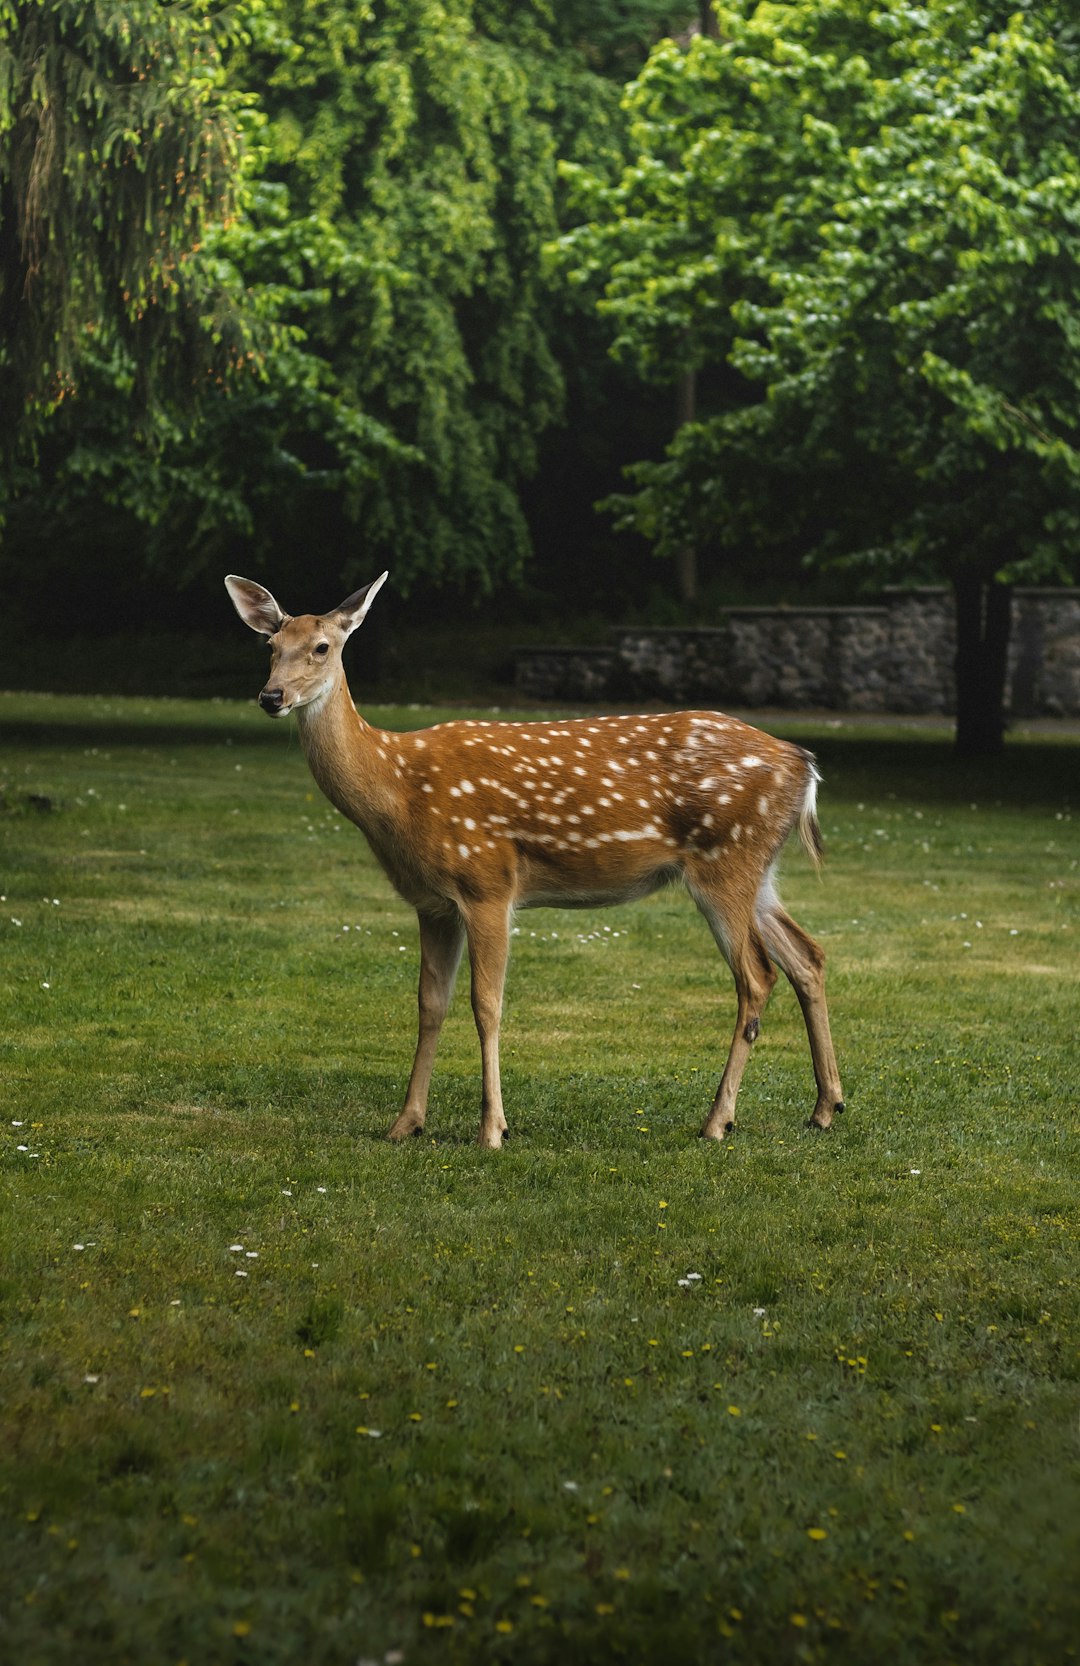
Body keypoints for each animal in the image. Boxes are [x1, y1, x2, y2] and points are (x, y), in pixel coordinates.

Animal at [225, 572, 845, 1149]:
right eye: (270, 645)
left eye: (322, 646)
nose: (270, 696)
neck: (397, 787)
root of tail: (804, 764)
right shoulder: (432, 903)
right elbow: (430, 1004)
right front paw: (405, 1124)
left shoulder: (486, 882)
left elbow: (487, 1005)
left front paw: (492, 1130)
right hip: (757, 869)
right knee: (807, 956)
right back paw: (825, 1108)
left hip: (725, 858)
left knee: (757, 977)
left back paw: (719, 1120)